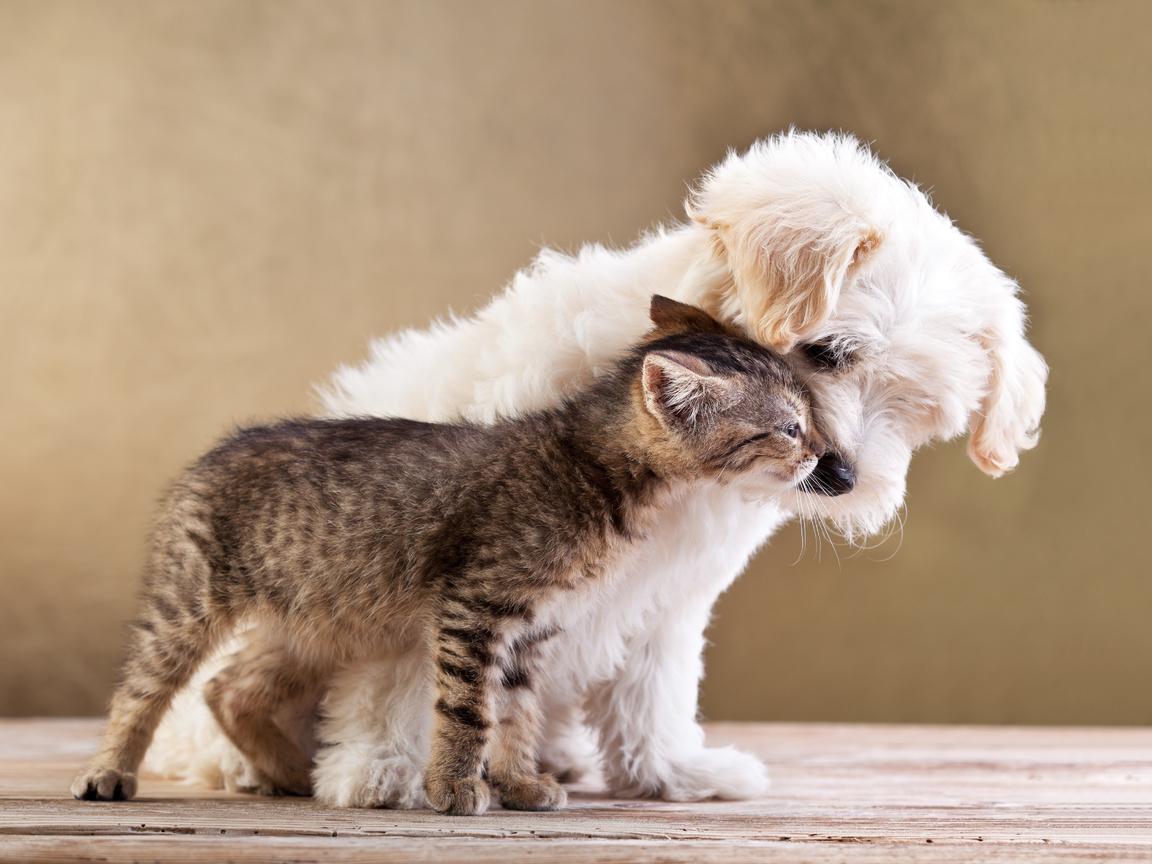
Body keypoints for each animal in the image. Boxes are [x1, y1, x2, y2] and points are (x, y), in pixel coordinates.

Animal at [72, 297, 824, 820]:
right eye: (789, 428)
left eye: (808, 418)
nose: (824, 455)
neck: (594, 469)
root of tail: (215, 450)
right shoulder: (475, 607)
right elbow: (469, 711)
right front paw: (457, 785)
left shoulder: (534, 628)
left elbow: (517, 715)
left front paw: (519, 781)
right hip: (189, 600)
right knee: (143, 688)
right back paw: (109, 772)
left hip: (317, 621)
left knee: (229, 688)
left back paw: (289, 772)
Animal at [144, 131, 1046, 811]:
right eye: (827, 352)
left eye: (917, 412)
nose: (844, 477)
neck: (668, 465)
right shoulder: (445, 555)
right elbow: (409, 672)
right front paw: (385, 768)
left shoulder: (669, 593)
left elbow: (653, 685)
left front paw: (671, 771)